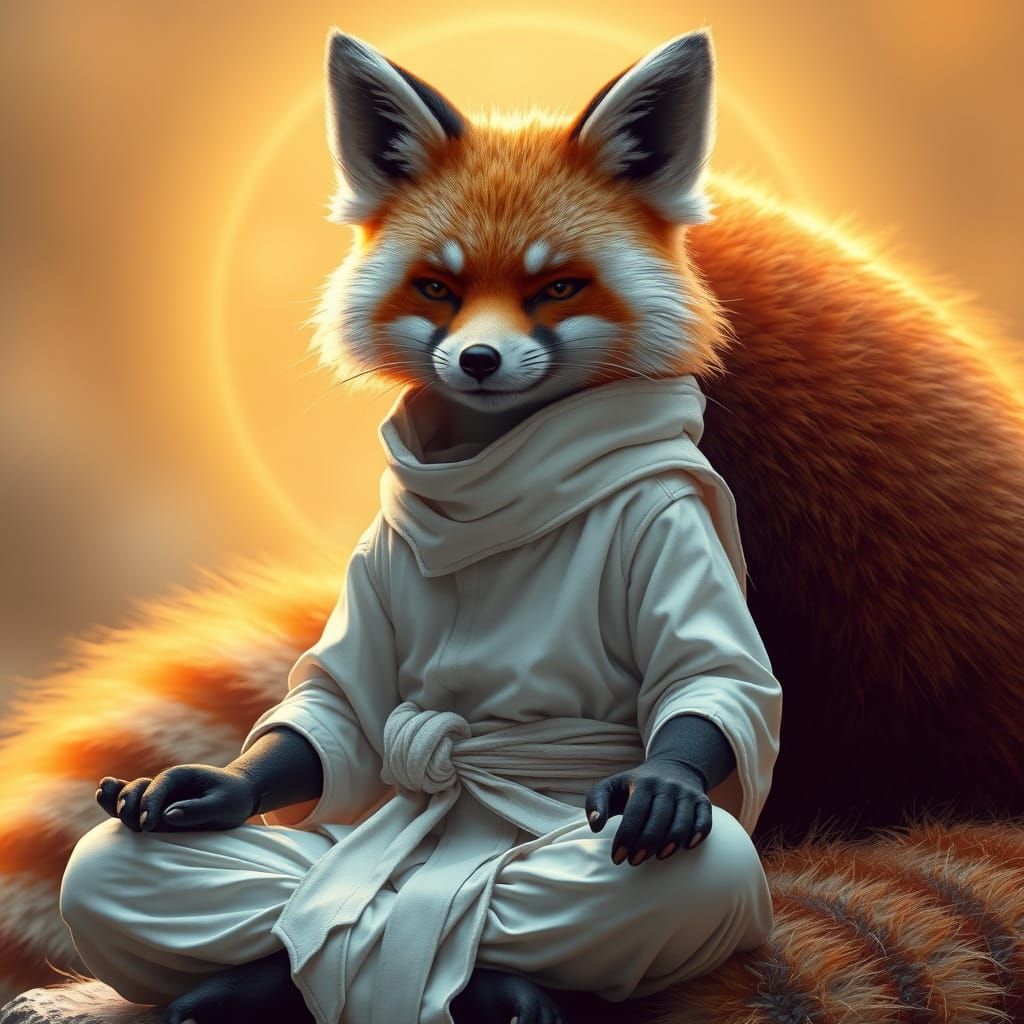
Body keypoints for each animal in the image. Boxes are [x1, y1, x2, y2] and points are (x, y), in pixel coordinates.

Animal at [2, 24, 1024, 1024]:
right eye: (438, 290)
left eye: (557, 289)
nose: (480, 361)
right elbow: (338, 708)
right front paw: (216, 786)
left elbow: (712, 682)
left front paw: (667, 782)